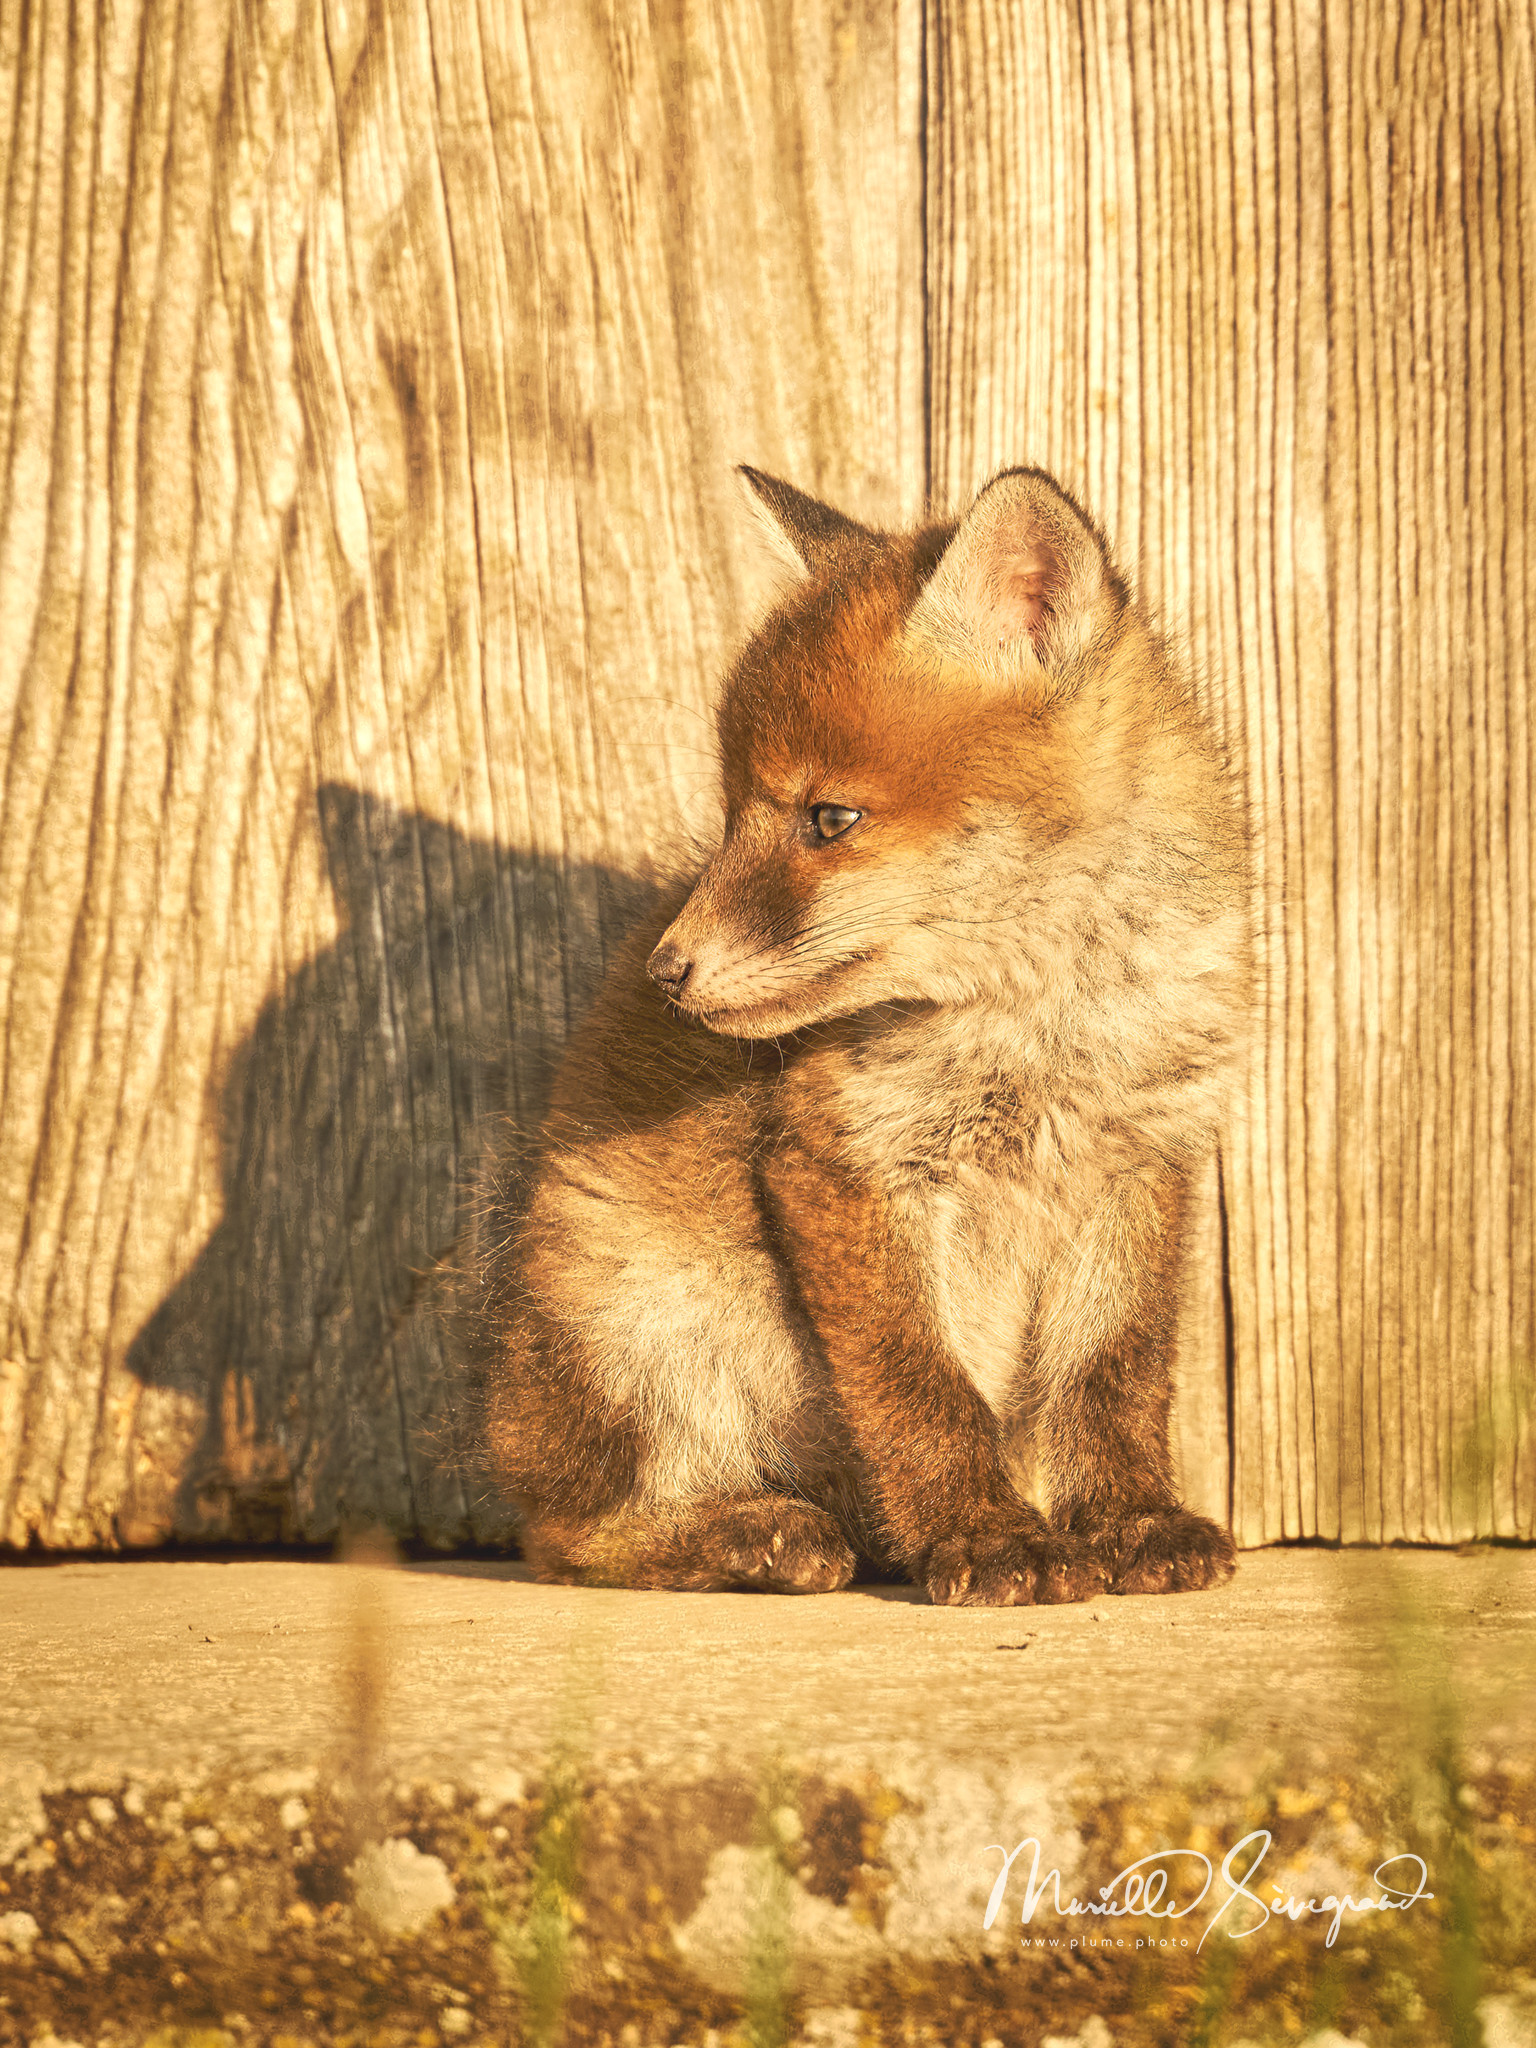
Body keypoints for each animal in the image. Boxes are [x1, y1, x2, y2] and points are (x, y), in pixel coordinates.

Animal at [479, 464, 1251, 1605]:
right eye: (731, 819)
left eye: (828, 820)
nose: (666, 971)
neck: (1046, 1021)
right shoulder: (842, 1162)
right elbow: (922, 1392)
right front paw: (989, 1534)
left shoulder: (1140, 1161)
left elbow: (1110, 1379)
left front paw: (1130, 1520)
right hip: (642, 1332)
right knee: (562, 1538)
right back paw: (752, 1535)